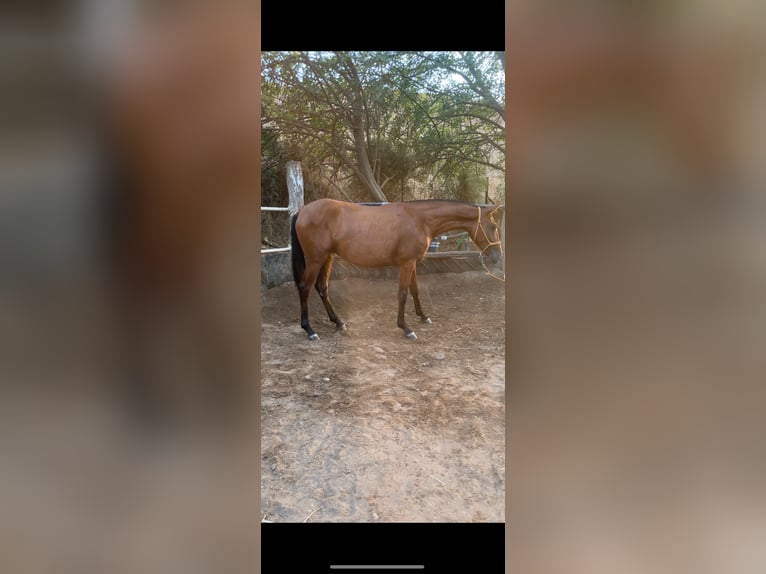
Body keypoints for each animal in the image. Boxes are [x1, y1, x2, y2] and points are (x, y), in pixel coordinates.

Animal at [290, 199, 504, 342]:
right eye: (493, 226)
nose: (497, 256)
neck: (419, 220)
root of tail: (302, 211)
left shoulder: (413, 263)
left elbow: (415, 290)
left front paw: (423, 316)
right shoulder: (406, 263)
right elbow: (402, 294)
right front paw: (406, 328)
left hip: (328, 257)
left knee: (322, 287)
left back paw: (338, 322)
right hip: (316, 259)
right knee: (305, 288)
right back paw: (309, 330)